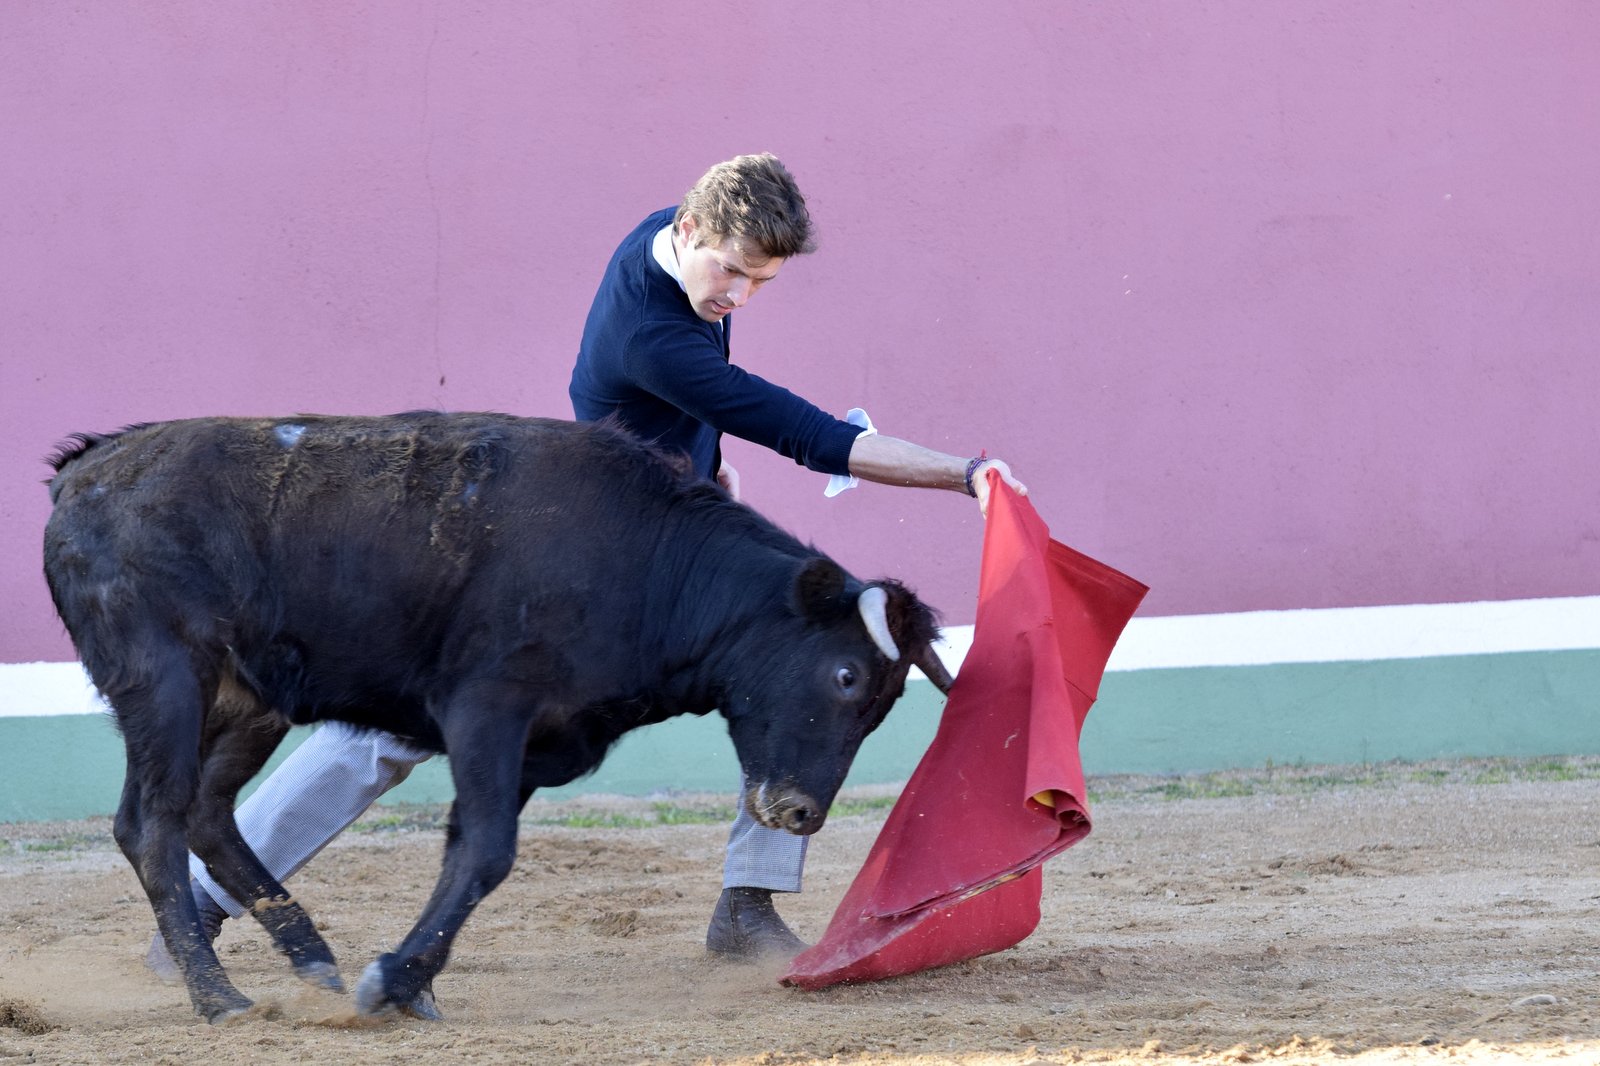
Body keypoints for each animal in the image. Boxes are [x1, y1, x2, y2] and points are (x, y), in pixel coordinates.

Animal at [43, 409, 947, 1017]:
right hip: (166, 682)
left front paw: (409, 981)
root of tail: (85, 471)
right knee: (151, 824)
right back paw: (219, 996)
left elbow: (467, 854)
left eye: (888, 700)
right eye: (844, 676)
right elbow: (488, 851)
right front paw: (394, 982)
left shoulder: (532, 744)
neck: (648, 560)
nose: (801, 813)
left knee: (206, 811)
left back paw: (311, 959)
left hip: (250, 700)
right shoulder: (488, 710)